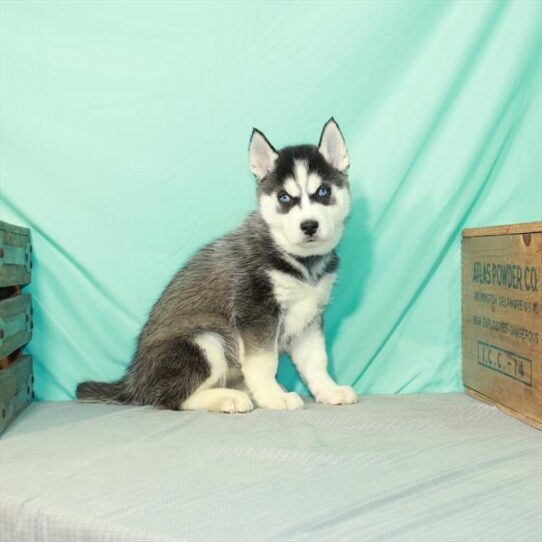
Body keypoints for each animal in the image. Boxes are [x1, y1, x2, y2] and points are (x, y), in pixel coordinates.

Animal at [76, 119, 356, 414]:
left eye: (323, 191)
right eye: (284, 198)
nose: (309, 225)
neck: (300, 262)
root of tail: (133, 381)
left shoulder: (309, 318)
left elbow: (316, 361)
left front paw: (328, 390)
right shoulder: (255, 312)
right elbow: (264, 362)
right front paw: (272, 398)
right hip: (205, 340)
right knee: (171, 398)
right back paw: (228, 398)